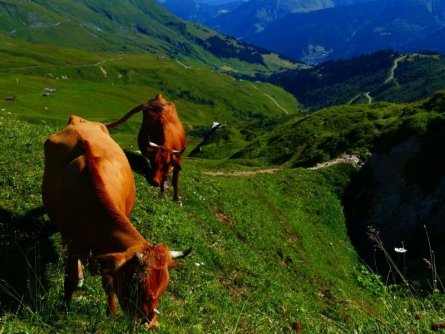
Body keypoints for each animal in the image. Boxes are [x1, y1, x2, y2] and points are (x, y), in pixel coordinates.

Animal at [40, 115, 189, 328]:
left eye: (163, 287)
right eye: (133, 282)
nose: (148, 322)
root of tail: (80, 121)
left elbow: (109, 282)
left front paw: (111, 313)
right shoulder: (72, 243)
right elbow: (69, 280)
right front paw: (64, 310)